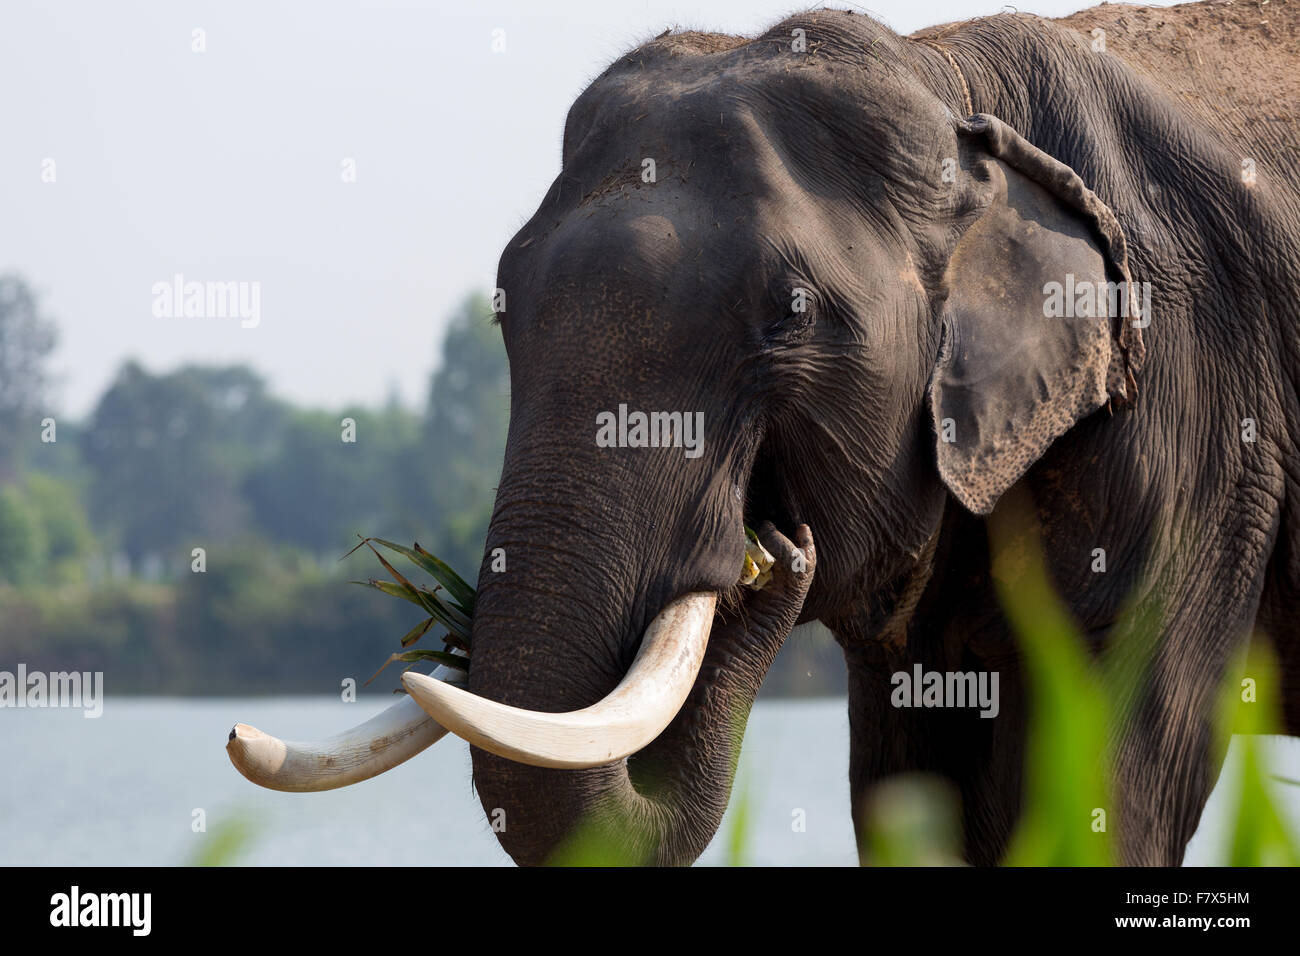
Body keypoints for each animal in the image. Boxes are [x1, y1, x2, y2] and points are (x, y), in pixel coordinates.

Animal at [226, 1, 1300, 868]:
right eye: (503, 310)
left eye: (790, 316)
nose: (768, 545)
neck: (952, 88)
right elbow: (912, 789)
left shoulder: (1196, 416)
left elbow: (1111, 781)